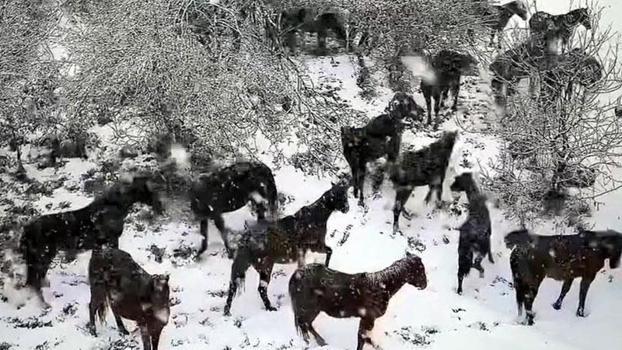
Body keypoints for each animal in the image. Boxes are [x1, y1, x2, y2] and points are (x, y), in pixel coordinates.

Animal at [21, 176, 165, 304]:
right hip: (43, 257)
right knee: (36, 281)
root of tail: (27, 230)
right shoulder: (112, 241)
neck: (115, 206)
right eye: (148, 189)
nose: (160, 207)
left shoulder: (99, 245)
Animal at [224, 182, 352, 316]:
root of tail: (246, 239)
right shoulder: (314, 245)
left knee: (233, 285)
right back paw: (270, 308)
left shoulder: (314, 247)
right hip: (265, 267)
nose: (346, 208)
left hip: (245, 264)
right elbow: (328, 252)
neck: (316, 216)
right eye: (340, 196)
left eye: (345, 193)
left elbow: (328, 251)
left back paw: (227, 311)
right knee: (261, 288)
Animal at [288, 253, 426, 348]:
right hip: (309, 309)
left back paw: (321, 342)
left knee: (307, 325)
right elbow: (363, 339)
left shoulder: (365, 319)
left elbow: (363, 338)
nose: (424, 285)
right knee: (304, 325)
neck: (382, 286)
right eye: (420, 269)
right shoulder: (368, 319)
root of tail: (296, 275)